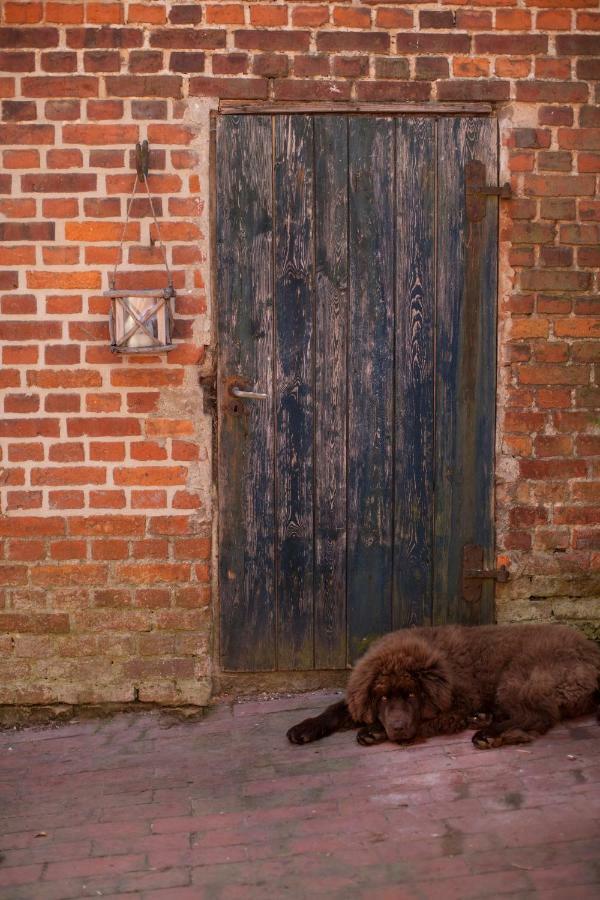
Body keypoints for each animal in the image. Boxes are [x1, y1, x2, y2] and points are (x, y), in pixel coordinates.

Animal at [288, 624, 600, 748]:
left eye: (411, 694)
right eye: (383, 698)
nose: (397, 727)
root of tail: (590, 652)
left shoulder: (457, 705)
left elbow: (429, 721)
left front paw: (374, 731)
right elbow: (335, 709)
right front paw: (304, 728)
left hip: (518, 677)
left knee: (538, 716)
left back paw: (489, 733)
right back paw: (484, 720)